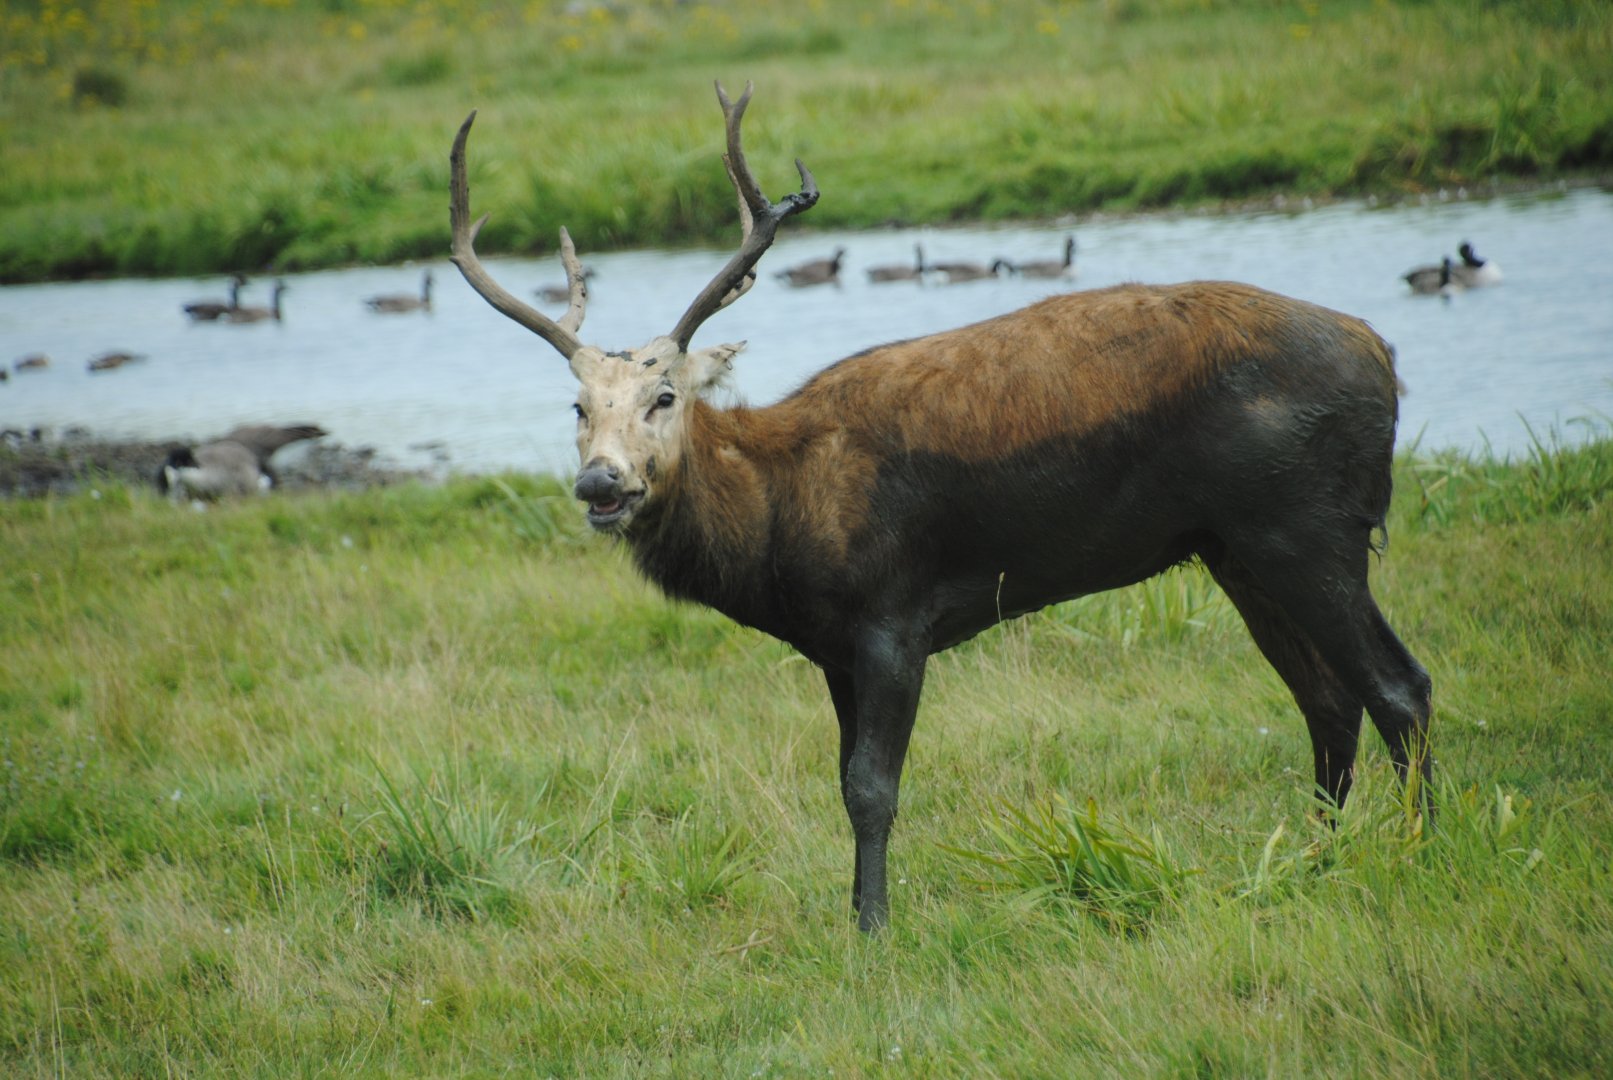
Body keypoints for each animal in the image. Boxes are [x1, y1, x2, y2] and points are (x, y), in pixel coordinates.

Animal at [448, 83, 1433, 932]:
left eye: (664, 397)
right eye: (577, 407)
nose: (602, 485)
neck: (775, 524)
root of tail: (1383, 358)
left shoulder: (894, 615)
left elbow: (871, 788)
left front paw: (874, 930)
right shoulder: (832, 647)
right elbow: (842, 780)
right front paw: (856, 916)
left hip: (1309, 528)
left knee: (1399, 688)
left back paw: (1417, 850)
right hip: (1236, 548)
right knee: (1325, 701)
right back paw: (1310, 860)